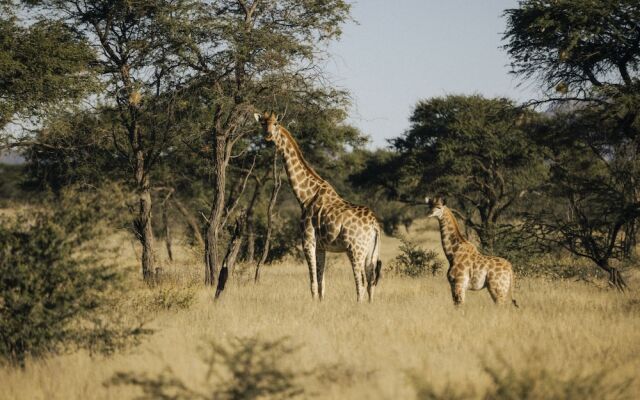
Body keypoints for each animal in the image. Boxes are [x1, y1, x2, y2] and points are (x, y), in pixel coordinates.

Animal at [254, 111, 382, 302]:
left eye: (275, 123)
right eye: (263, 123)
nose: (268, 135)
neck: (305, 196)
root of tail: (375, 226)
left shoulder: (308, 241)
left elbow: (313, 282)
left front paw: (313, 303)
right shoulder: (322, 246)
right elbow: (322, 283)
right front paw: (320, 303)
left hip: (355, 250)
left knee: (360, 283)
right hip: (370, 253)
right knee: (370, 284)